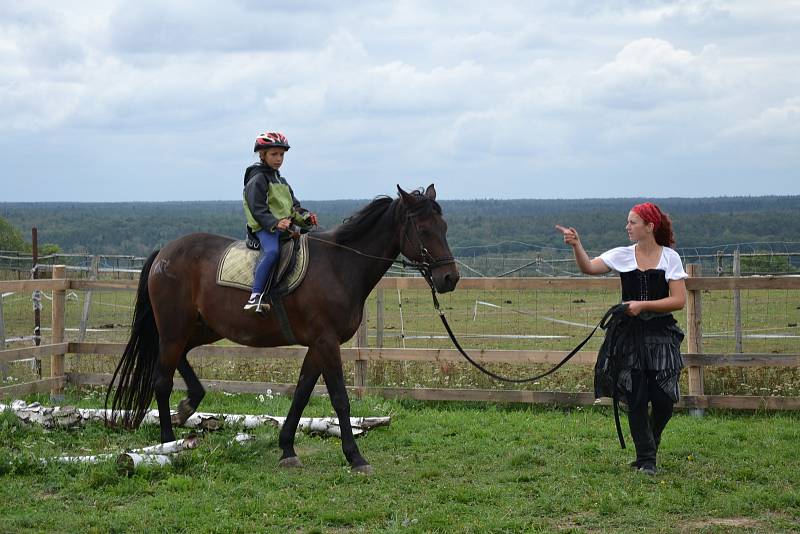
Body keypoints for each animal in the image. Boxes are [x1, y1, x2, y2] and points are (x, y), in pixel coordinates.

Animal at [103, 184, 460, 474]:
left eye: (444, 227)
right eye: (424, 229)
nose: (449, 279)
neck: (340, 266)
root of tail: (164, 252)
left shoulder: (318, 345)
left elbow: (301, 395)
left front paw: (287, 448)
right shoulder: (327, 342)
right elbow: (340, 399)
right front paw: (355, 457)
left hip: (201, 328)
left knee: (180, 358)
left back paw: (190, 402)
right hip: (174, 328)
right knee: (162, 381)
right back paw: (167, 441)